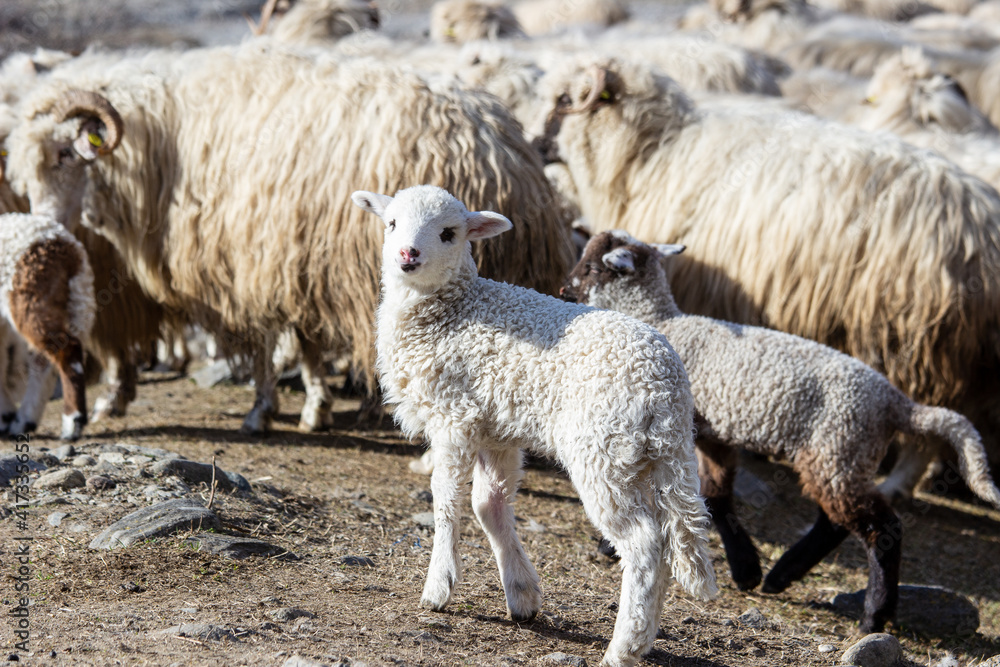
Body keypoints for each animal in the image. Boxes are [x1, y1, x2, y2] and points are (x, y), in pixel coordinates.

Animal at [0, 212, 95, 440]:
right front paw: (5, 416)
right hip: (73, 301)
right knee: (45, 361)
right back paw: (24, 421)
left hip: (31, 297)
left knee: (68, 350)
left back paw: (72, 422)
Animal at [352, 184, 716, 667]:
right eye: (391, 222)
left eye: (449, 233)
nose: (407, 253)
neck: (452, 309)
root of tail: (665, 383)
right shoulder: (496, 430)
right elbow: (489, 506)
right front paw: (522, 594)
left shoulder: (453, 416)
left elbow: (445, 500)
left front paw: (438, 588)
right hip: (650, 454)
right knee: (669, 536)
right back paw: (644, 638)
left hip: (602, 448)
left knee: (643, 544)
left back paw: (623, 647)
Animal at [528, 57, 1000, 490]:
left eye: (565, 100)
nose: (533, 144)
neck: (652, 152)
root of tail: (985, 225)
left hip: (917, 343)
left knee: (926, 430)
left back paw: (896, 483)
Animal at [562, 230, 1000, 632]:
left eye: (591, 267)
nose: (565, 289)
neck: (663, 320)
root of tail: (897, 403)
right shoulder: (713, 434)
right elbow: (716, 495)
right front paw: (746, 570)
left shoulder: (671, 428)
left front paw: (608, 545)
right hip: (841, 456)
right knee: (835, 521)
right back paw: (781, 576)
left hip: (839, 444)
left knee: (880, 526)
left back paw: (874, 616)